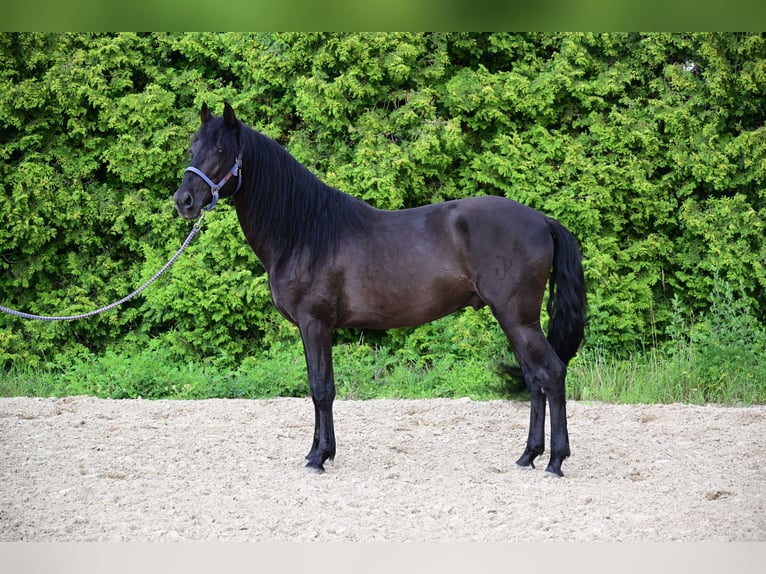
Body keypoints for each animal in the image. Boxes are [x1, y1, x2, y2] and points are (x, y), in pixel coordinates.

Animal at [177, 102, 592, 476]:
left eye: (220, 151)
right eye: (193, 146)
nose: (184, 201)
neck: (304, 231)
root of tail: (542, 221)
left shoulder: (315, 324)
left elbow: (321, 389)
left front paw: (318, 458)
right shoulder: (315, 328)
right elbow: (319, 389)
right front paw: (319, 452)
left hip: (518, 319)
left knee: (552, 374)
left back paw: (555, 461)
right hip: (515, 321)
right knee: (535, 380)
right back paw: (528, 456)